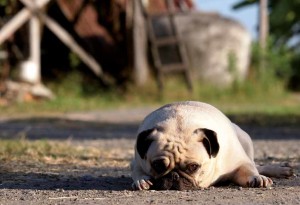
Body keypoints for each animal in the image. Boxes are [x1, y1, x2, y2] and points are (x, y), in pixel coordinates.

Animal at [131, 101, 292, 191]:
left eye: (193, 167)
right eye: (157, 165)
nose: (174, 175)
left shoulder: (240, 162)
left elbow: (249, 169)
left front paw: (257, 178)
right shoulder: (137, 161)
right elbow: (137, 171)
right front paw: (142, 180)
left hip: (246, 139)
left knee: (255, 164)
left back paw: (279, 170)